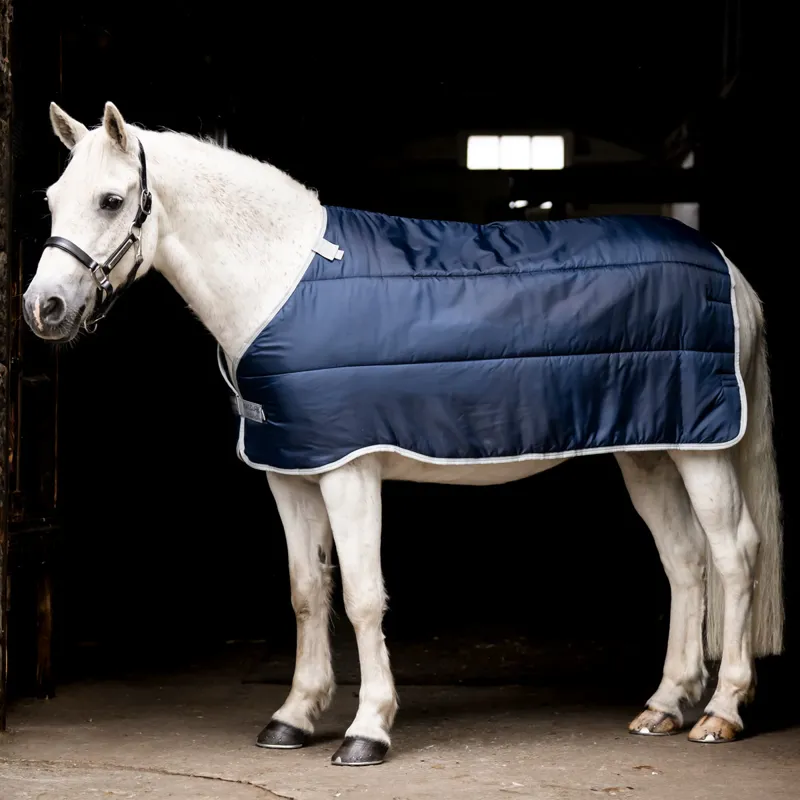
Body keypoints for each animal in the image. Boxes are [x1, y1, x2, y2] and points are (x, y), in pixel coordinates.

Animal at [22, 101, 783, 767]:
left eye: (112, 200)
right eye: (53, 199)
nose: (43, 308)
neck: (283, 277)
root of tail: (727, 268)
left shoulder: (348, 470)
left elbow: (362, 596)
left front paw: (368, 731)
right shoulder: (290, 469)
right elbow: (307, 591)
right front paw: (294, 717)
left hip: (701, 451)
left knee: (733, 554)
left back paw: (721, 711)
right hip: (648, 450)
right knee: (683, 559)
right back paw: (665, 705)